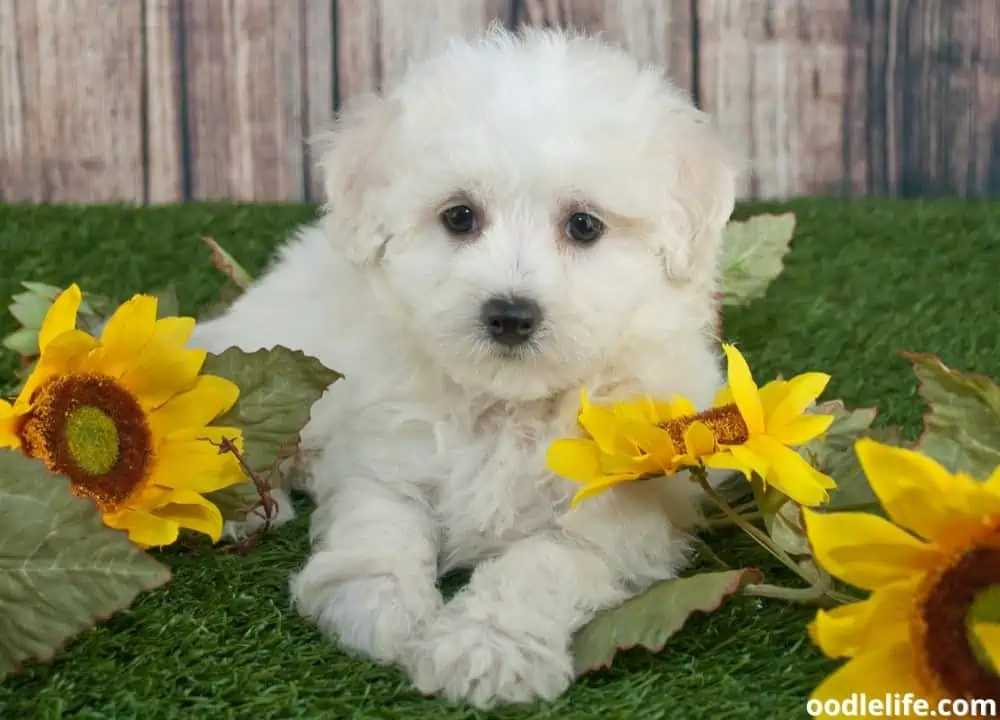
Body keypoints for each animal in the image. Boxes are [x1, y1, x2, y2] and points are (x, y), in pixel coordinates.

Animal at [191, 26, 740, 708]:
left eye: (584, 225)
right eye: (459, 216)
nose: (510, 314)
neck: (510, 405)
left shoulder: (623, 512)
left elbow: (542, 564)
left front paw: (486, 647)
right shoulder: (382, 450)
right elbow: (381, 518)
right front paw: (375, 601)